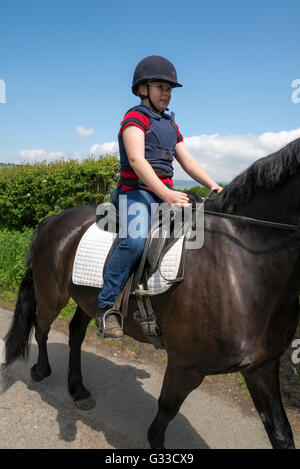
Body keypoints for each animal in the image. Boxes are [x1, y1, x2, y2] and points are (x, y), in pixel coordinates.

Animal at [2, 138, 300, 446]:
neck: (238, 264)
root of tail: (53, 219)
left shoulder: (261, 367)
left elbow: (281, 432)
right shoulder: (185, 365)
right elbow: (165, 411)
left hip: (86, 299)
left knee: (75, 332)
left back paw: (78, 389)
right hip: (52, 295)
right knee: (42, 327)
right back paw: (40, 371)